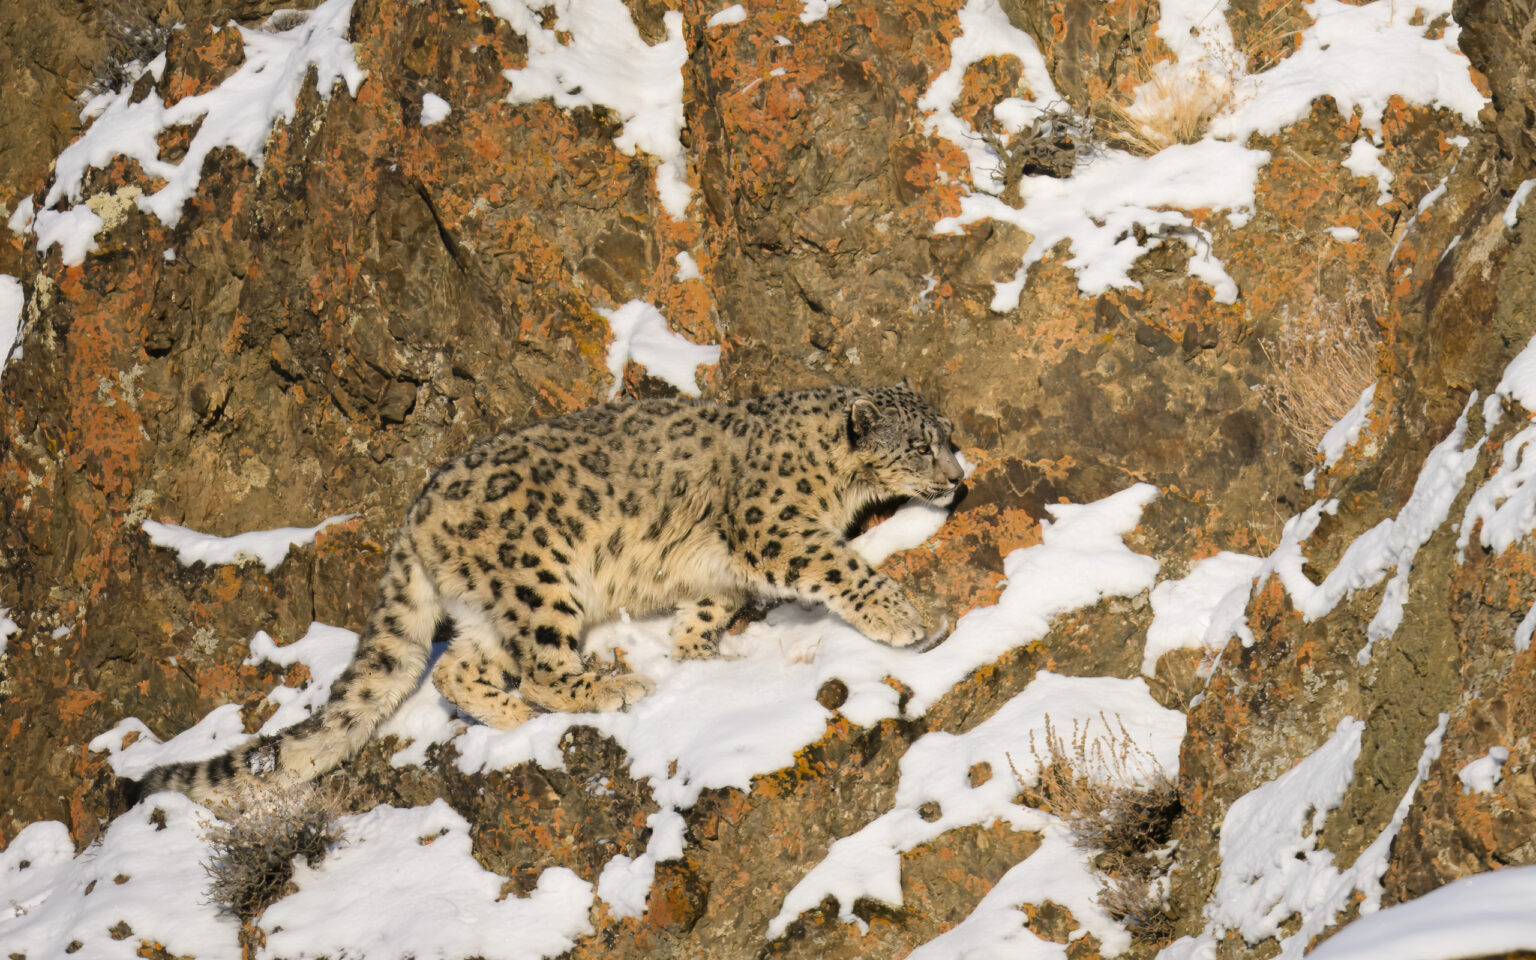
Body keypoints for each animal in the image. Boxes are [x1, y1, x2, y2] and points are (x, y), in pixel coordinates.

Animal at [137, 383, 965, 804]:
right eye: (921, 445)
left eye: (948, 437)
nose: (959, 478)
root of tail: (418, 508)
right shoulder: (776, 528)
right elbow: (842, 569)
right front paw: (912, 618)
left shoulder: (721, 567)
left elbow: (708, 607)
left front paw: (702, 654)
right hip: (539, 578)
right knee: (537, 664)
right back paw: (607, 689)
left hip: (489, 605)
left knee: (454, 667)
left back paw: (508, 713)